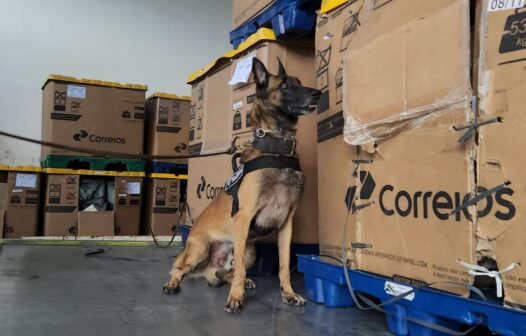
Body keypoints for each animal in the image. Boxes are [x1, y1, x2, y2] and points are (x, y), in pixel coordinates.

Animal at [164, 56, 322, 314]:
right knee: (181, 269)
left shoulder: (286, 225)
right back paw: (173, 284)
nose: (317, 93)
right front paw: (235, 299)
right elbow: (238, 268)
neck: (276, 148)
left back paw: (240, 280)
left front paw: (288, 293)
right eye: (285, 85)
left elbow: (284, 265)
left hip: (250, 250)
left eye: (299, 81)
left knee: (223, 273)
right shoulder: (244, 217)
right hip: (200, 248)